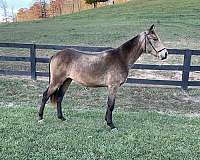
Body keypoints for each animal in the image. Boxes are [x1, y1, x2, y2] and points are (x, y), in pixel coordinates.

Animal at [37, 24, 167, 129]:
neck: (121, 58)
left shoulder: (111, 87)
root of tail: (55, 55)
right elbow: (111, 104)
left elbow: (109, 104)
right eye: (154, 39)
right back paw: (40, 118)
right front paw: (111, 124)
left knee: (59, 97)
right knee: (45, 95)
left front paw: (107, 121)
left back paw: (61, 118)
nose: (165, 54)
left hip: (66, 81)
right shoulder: (113, 86)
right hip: (56, 81)